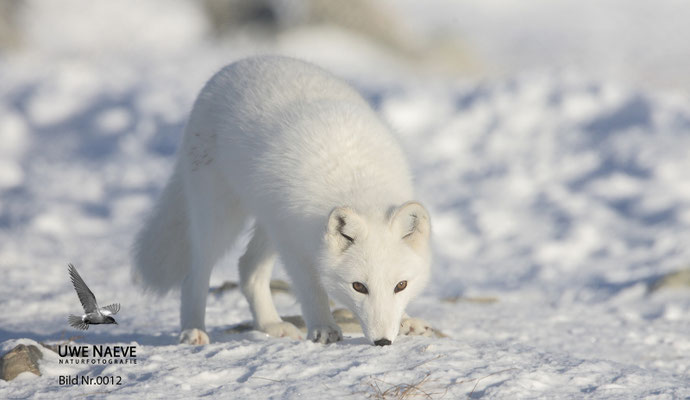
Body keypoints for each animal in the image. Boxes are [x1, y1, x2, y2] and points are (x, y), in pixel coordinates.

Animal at [132, 55, 433, 346]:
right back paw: (193, 330)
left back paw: (270, 325)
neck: (356, 181)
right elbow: (311, 290)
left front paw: (405, 321)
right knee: (195, 273)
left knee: (247, 268)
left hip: (268, 223)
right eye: (359, 286)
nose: (382, 341)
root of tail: (237, 65)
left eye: (401, 285)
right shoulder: (293, 245)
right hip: (221, 217)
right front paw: (323, 328)